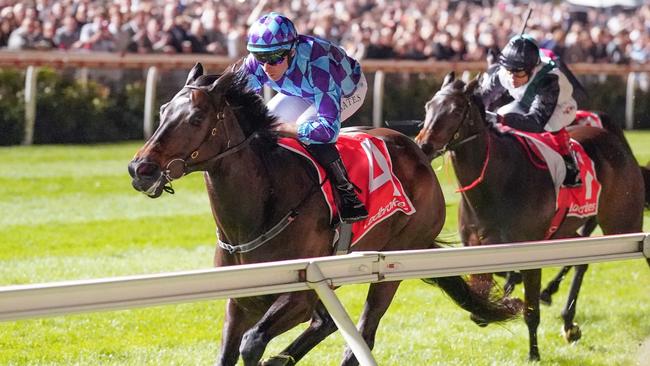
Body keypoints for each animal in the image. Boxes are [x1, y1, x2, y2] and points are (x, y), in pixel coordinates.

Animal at [129, 64, 520, 364]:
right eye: (162, 111)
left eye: (196, 118)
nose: (141, 168)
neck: (263, 202)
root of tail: (419, 154)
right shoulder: (243, 297)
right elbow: (228, 351)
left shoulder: (298, 294)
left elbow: (252, 342)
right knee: (328, 324)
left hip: (395, 260)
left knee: (362, 336)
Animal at [416, 71, 644, 360]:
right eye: (428, 106)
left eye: (456, 110)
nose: (423, 145)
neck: (495, 184)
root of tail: (611, 136)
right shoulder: (475, 248)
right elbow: (486, 291)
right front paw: (497, 303)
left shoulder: (531, 252)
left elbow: (529, 310)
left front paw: (533, 353)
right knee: (581, 260)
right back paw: (566, 318)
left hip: (624, 224)